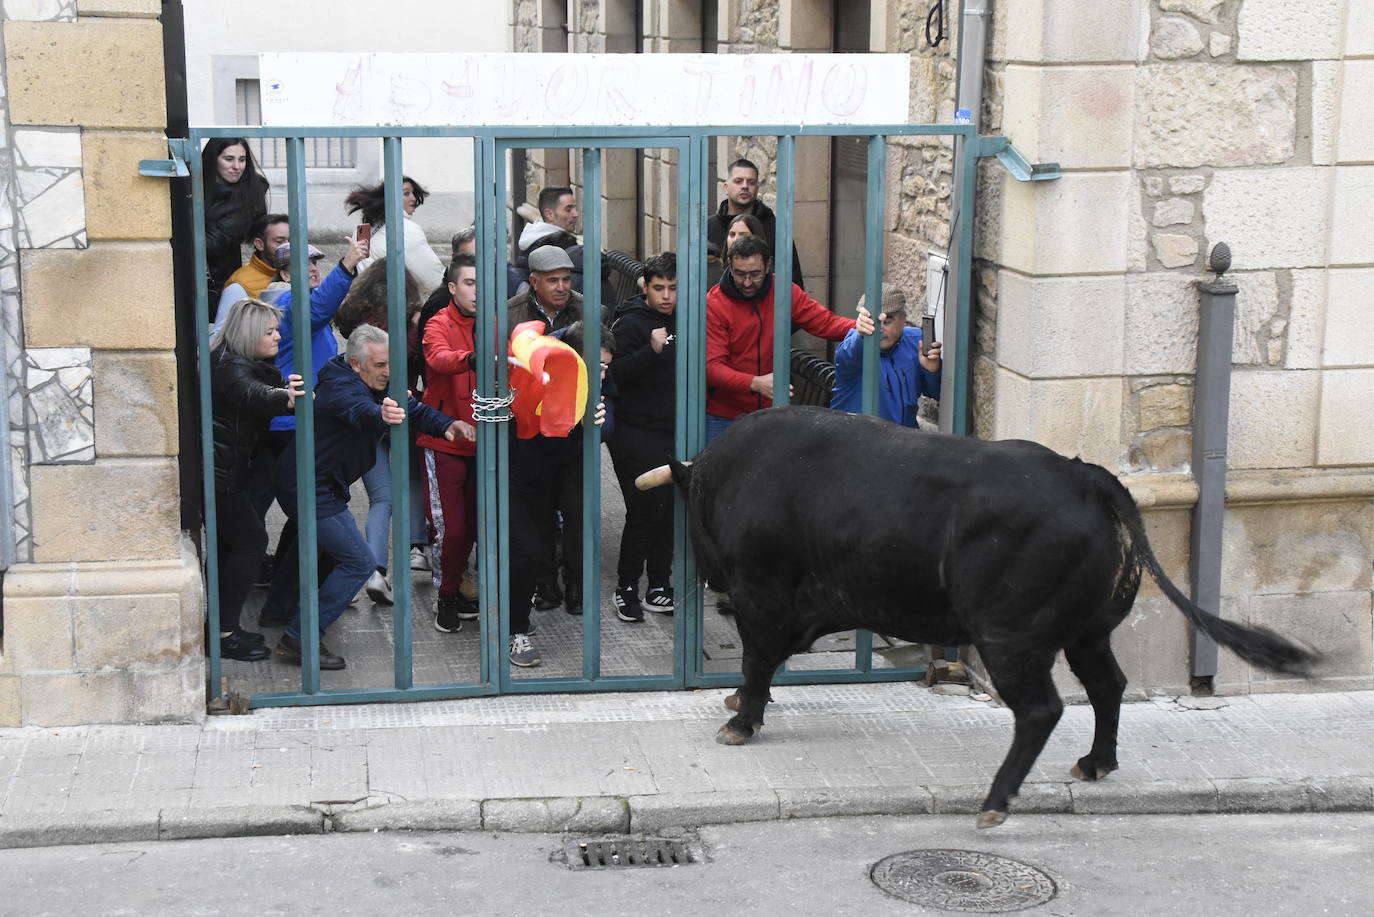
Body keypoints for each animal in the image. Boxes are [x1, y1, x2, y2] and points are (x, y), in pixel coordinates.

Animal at [643, 404, 1319, 830]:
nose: (709, 579)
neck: (732, 474)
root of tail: (1086, 478)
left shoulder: (761, 593)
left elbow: (759, 658)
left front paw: (741, 718)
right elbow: (765, 661)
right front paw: (742, 703)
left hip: (1010, 638)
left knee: (1041, 709)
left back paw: (996, 800)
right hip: (1087, 633)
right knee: (1107, 686)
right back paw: (1095, 763)